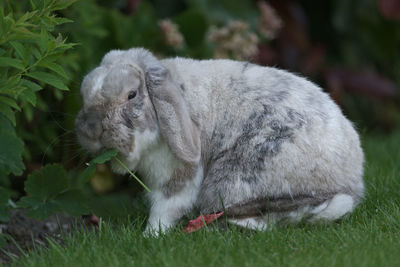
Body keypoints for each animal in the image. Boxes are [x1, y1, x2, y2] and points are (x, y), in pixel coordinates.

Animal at [76, 48, 366, 237]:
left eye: (132, 95)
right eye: (84, 94)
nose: (91, 128)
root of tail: (352, 179)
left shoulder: (179, 174)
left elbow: (167, 206)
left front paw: (151, 236)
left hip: (234, 181)